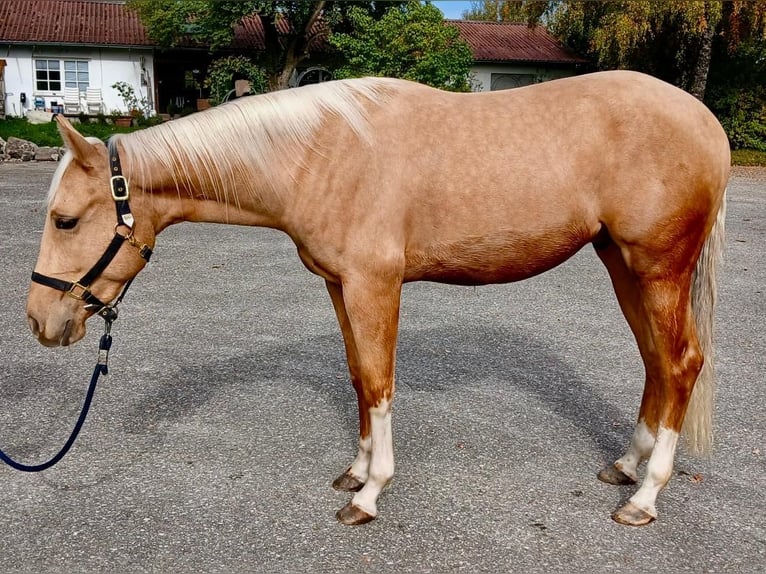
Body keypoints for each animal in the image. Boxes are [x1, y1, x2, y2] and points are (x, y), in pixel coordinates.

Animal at [26, 70, 729, 527]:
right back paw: (627, 466)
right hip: (622, 263)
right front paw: (357, 471)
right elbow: (359, 377)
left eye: (65, 220)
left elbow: (380, 381)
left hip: (657, 267)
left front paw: (369, 495)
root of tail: (707, 123)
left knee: (681, 363)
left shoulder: (374, 285)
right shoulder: (340, 285)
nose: (40, 321)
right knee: (655, 362)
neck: (319, 155)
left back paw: (644, 498)